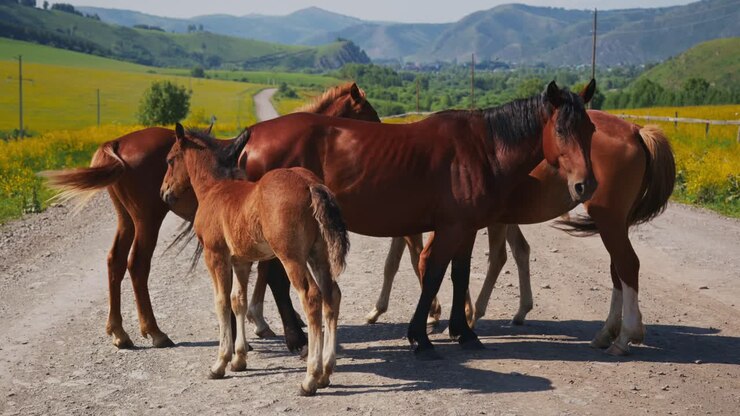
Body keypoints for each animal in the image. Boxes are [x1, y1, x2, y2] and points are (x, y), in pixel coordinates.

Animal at [41, 82, 378, 351]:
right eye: (369, 116)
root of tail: (117, 143)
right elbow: (270, 275)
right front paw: (271, 323)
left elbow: (262, 271)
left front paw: (259, 320)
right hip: (147, 219)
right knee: (137, 265)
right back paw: (154, 331)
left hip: (126, 219)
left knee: (115, 261)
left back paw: (119, 332)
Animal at [161, 124, 349, 396]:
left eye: (169, 160)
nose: (164, 192)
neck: (214, 189)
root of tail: (310, 184)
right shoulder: (241, 260)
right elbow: (237, 300)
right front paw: (239, 359)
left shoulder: (215, 255)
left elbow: (221, 302)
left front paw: (220, 363)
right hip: (319, 255)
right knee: (331, 294)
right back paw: (326, 372)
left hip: (292, 257)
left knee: (311, 296)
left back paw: (310, 378)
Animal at [232, 80, 597, 359]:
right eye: (560, 129)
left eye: (591, 128)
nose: (586, 184)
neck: (484, 149)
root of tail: (251, 138)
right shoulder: (450, 229)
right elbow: (433, 274)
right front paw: (421, 336)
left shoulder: (466, 230)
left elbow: (459, 275)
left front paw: (463, 332)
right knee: (276, 278)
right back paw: (295, 338)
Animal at [367, 111, 675, 355]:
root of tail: (635, 130)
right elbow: (397, 262)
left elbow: (425, 262)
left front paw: (443, 316)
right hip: (613, 223)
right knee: (617, 270)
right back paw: (608, 332)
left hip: (609, 220)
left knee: (627, 265)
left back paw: (624, 337)